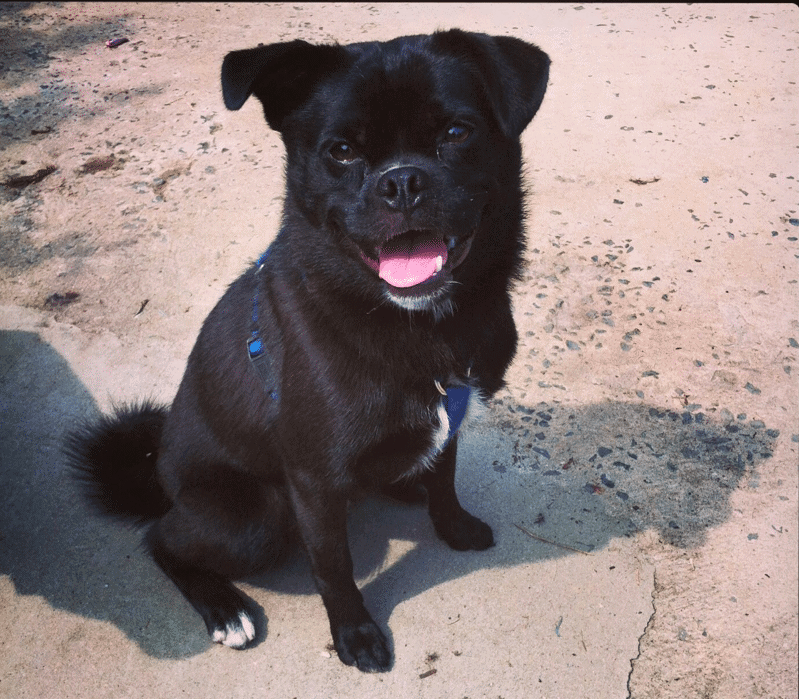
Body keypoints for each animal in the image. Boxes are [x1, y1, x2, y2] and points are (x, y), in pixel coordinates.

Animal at [65, 31, 548, 672]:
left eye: (457, 132)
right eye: (340, 151)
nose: (402, 182)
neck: (411, 323)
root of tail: (161, 478)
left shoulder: (453, 415)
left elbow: (445, 476)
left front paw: (453, 525)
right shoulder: (313, 483)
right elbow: (333, 566)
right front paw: (355, 634)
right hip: (255, 515)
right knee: (161, 540)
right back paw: (224, 608)